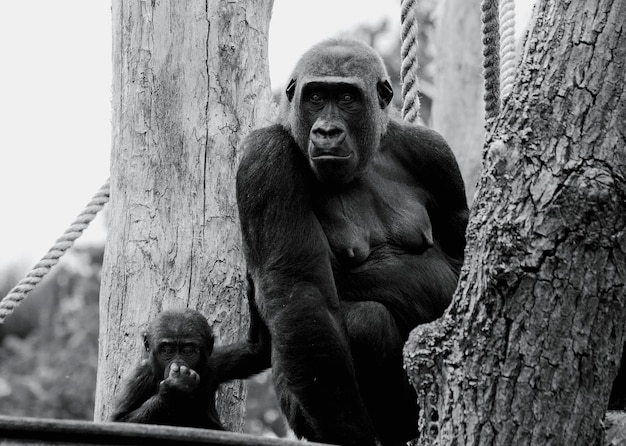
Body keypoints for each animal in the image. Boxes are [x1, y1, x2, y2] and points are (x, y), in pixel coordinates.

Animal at [236, 39, 466, 446]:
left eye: (346, 97)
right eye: (315, 97)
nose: (327, 131)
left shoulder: (435, 153)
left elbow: (460, 255)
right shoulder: (264, 159)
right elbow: (300, 292)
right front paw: (351, 434)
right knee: (364, 323)